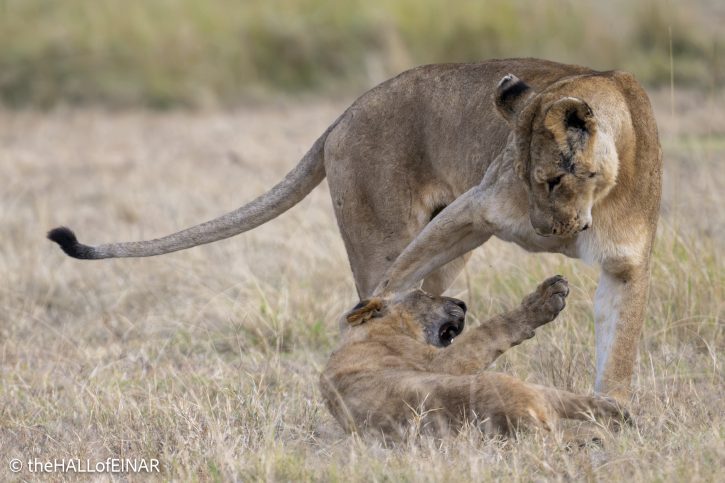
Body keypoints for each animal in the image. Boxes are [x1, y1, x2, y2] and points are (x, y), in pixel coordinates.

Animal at [47, 58, 662, 398]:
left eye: (554, 180)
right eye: (523, 175)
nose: (545, 231)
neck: (599, 196)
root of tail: (342, 115)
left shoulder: (625, 264)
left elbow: (619, 352)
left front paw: (613, 415)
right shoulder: (476, 205)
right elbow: (387, 298)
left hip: (450, 260)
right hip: (386, 231)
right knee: (390, 294)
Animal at [320, 275, 630, 438]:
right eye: (424, 294)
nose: (462, 304)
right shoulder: (441, 362)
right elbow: (489, 332)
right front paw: (542, 302)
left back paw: (620, 412)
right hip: (514, 385)